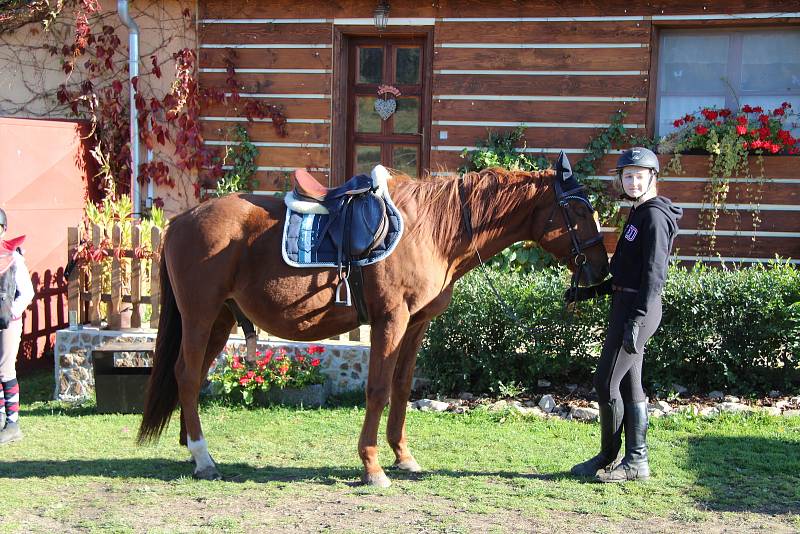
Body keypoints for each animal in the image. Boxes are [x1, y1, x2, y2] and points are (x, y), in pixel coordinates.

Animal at [141, 166, 608, 486]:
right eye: (578, 209)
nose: (602, 268)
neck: (432, 229)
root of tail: (180, 221)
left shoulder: (417, 324)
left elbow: (401, 387)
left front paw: (403, 457)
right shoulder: (391, 320)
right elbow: (378, 389)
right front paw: (372, 466)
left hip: (219, 320)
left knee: (194, 375)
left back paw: (191, 448)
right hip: (200, 315)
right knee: (187, 375)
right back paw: (203, 457)